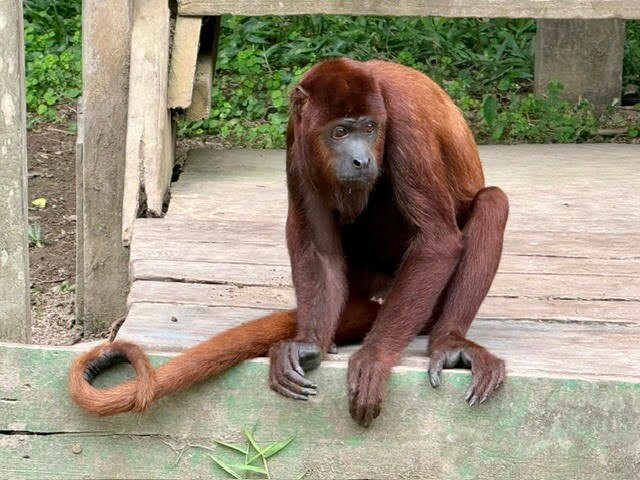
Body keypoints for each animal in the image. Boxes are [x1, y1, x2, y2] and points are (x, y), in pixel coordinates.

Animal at [69, 58, 508, 427]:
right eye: (340, 131)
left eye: (369, 128)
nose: (361, 159)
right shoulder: (296, 132)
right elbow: (316, 244)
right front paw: (309, 344)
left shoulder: (402, 120)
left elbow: (437, 239)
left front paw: (374, 357)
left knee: (493, 202)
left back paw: (451, 342)